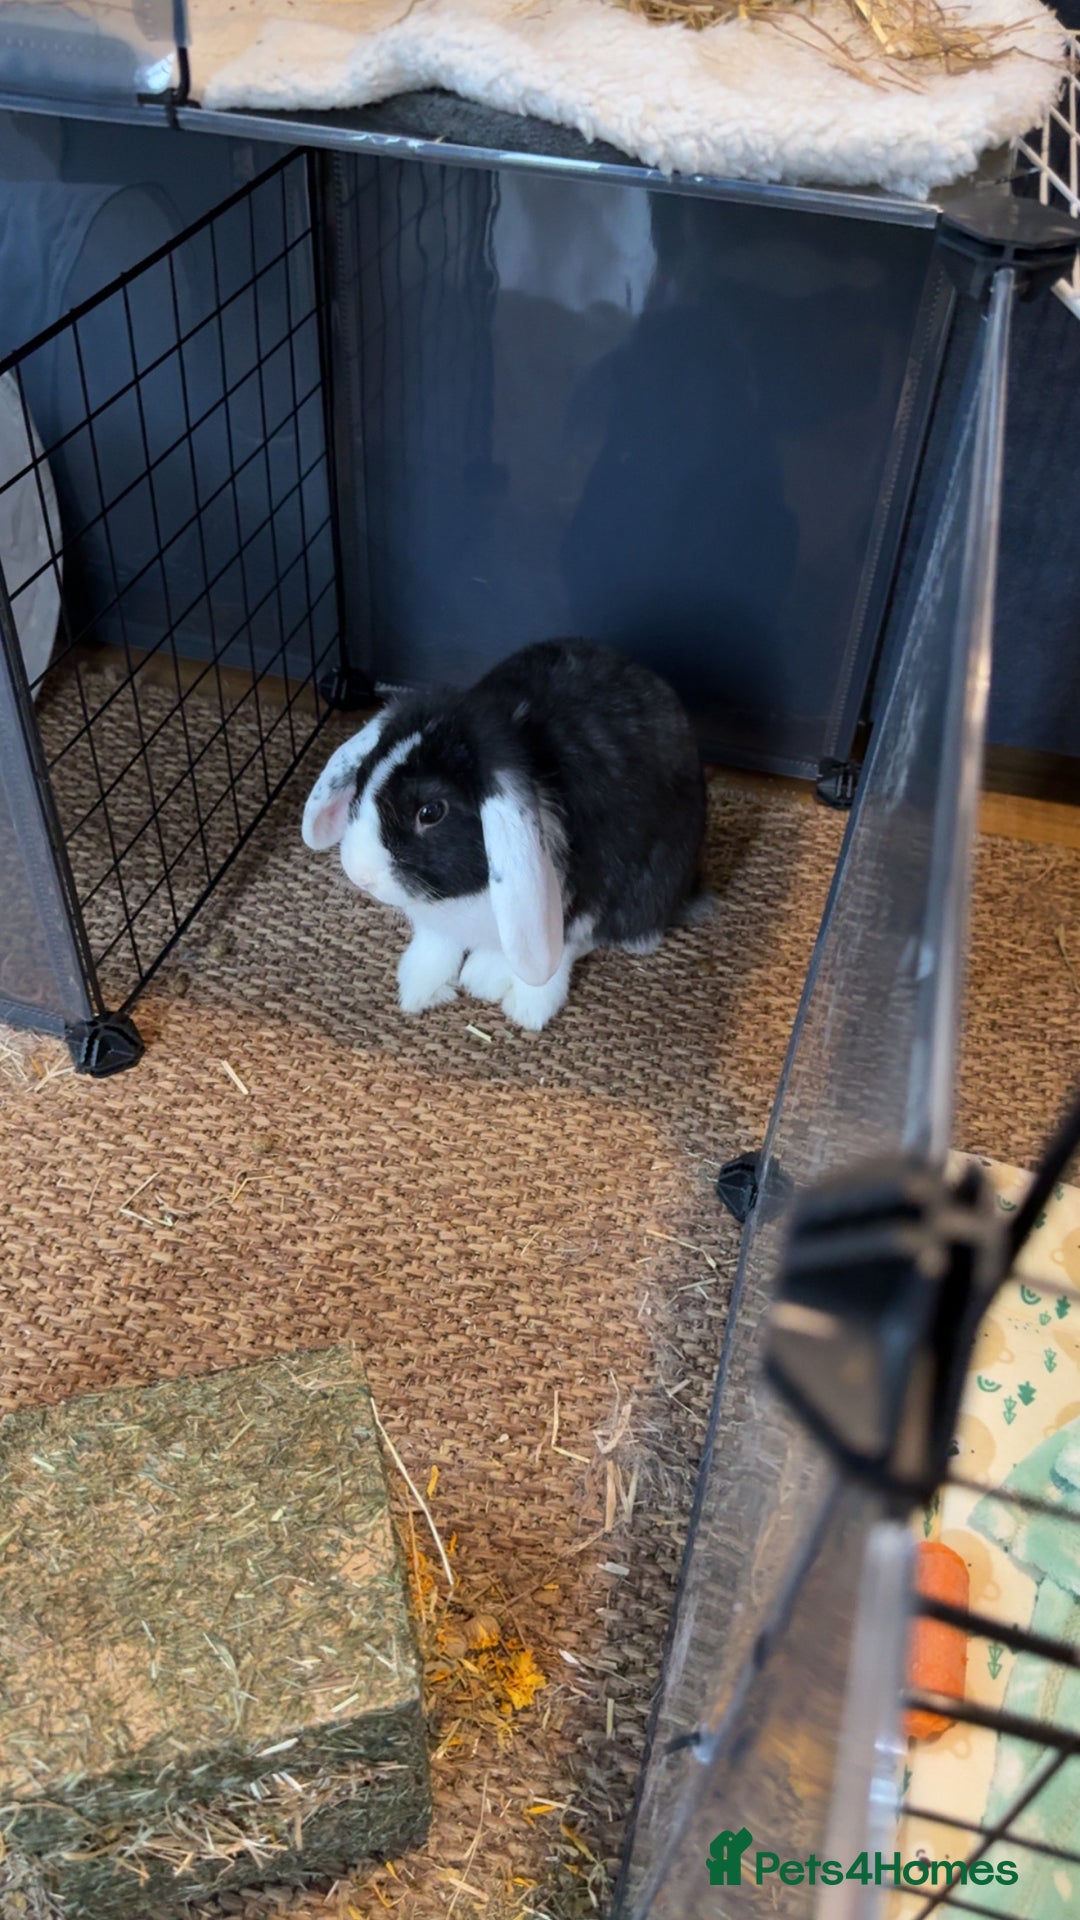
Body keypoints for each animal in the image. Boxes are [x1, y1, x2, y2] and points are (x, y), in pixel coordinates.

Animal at [301, 639, 708, 1031]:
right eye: (363, 774)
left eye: (431, 812)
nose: (360, 875)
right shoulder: (440, 923)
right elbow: (436, 943)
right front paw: (419, 989)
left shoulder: (585, 895)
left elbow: (562, 950)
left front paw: (526, 1010)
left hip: (649, 885)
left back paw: (486, 976)